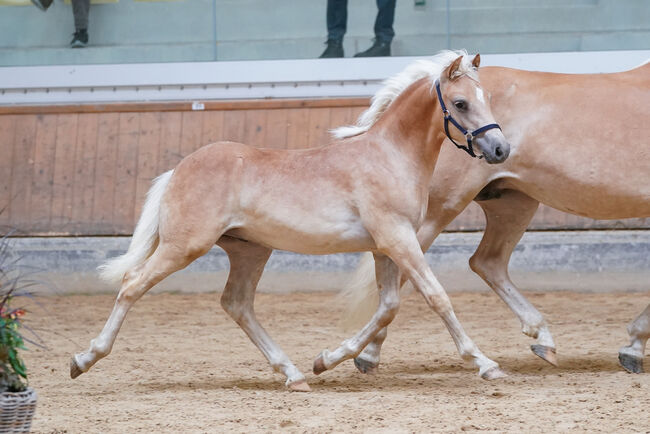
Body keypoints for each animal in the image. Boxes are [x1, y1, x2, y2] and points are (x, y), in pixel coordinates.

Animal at [68, 50, 508, 390]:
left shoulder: (386, 246)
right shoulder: (397, 238)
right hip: (185, 247)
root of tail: (178, 170)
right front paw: (485, 364)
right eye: (461, 103)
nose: (501, 148)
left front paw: (326, 359)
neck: (389, 156)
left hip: (249, 251)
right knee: (132, 284)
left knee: (237, 304)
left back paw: (294, 374)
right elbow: (436, 297)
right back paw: (83, 359)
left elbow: (388, 306)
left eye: (486, 97)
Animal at [340, 59, 648, 374]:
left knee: (487, 262)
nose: (501, 148)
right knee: (405, 277)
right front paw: (635, 344)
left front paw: (634, 346)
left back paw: (543, 338)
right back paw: (368, 353)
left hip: (513, 205)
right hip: (429, 216)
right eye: (461, 103)